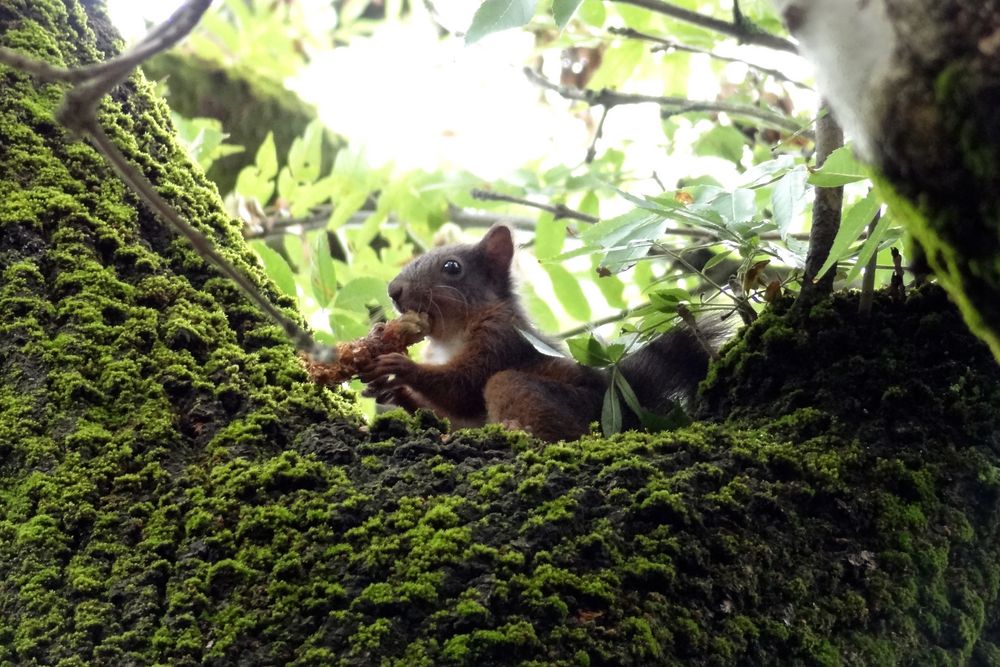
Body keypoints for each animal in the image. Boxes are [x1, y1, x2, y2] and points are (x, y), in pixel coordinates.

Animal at [360, 226, 720, 444]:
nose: (393, 291)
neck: (451, 335)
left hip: (556, 402)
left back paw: (517, 428)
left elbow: (464, 387)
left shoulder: (502, 339)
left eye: (452, 268)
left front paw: (401, 367)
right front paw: (390, 390)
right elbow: (451, 414)